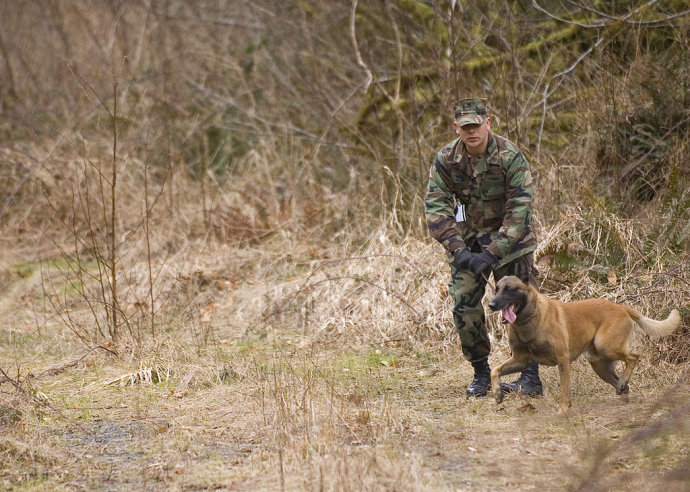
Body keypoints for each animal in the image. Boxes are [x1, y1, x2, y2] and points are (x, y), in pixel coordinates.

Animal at [486, 276, 680, 412]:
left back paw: (623, 383)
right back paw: (622, 391)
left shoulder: (562, 360)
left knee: (634, 357)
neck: (528, 320)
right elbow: (494, 370)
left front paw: (563, 411)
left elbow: (565, 390)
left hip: (606, 346)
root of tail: (621, 307)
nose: (491, 304)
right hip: (599, 364)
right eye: (497, 290)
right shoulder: (520, 361)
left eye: (510, 289)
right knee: (623, 381)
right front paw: (497, 393)